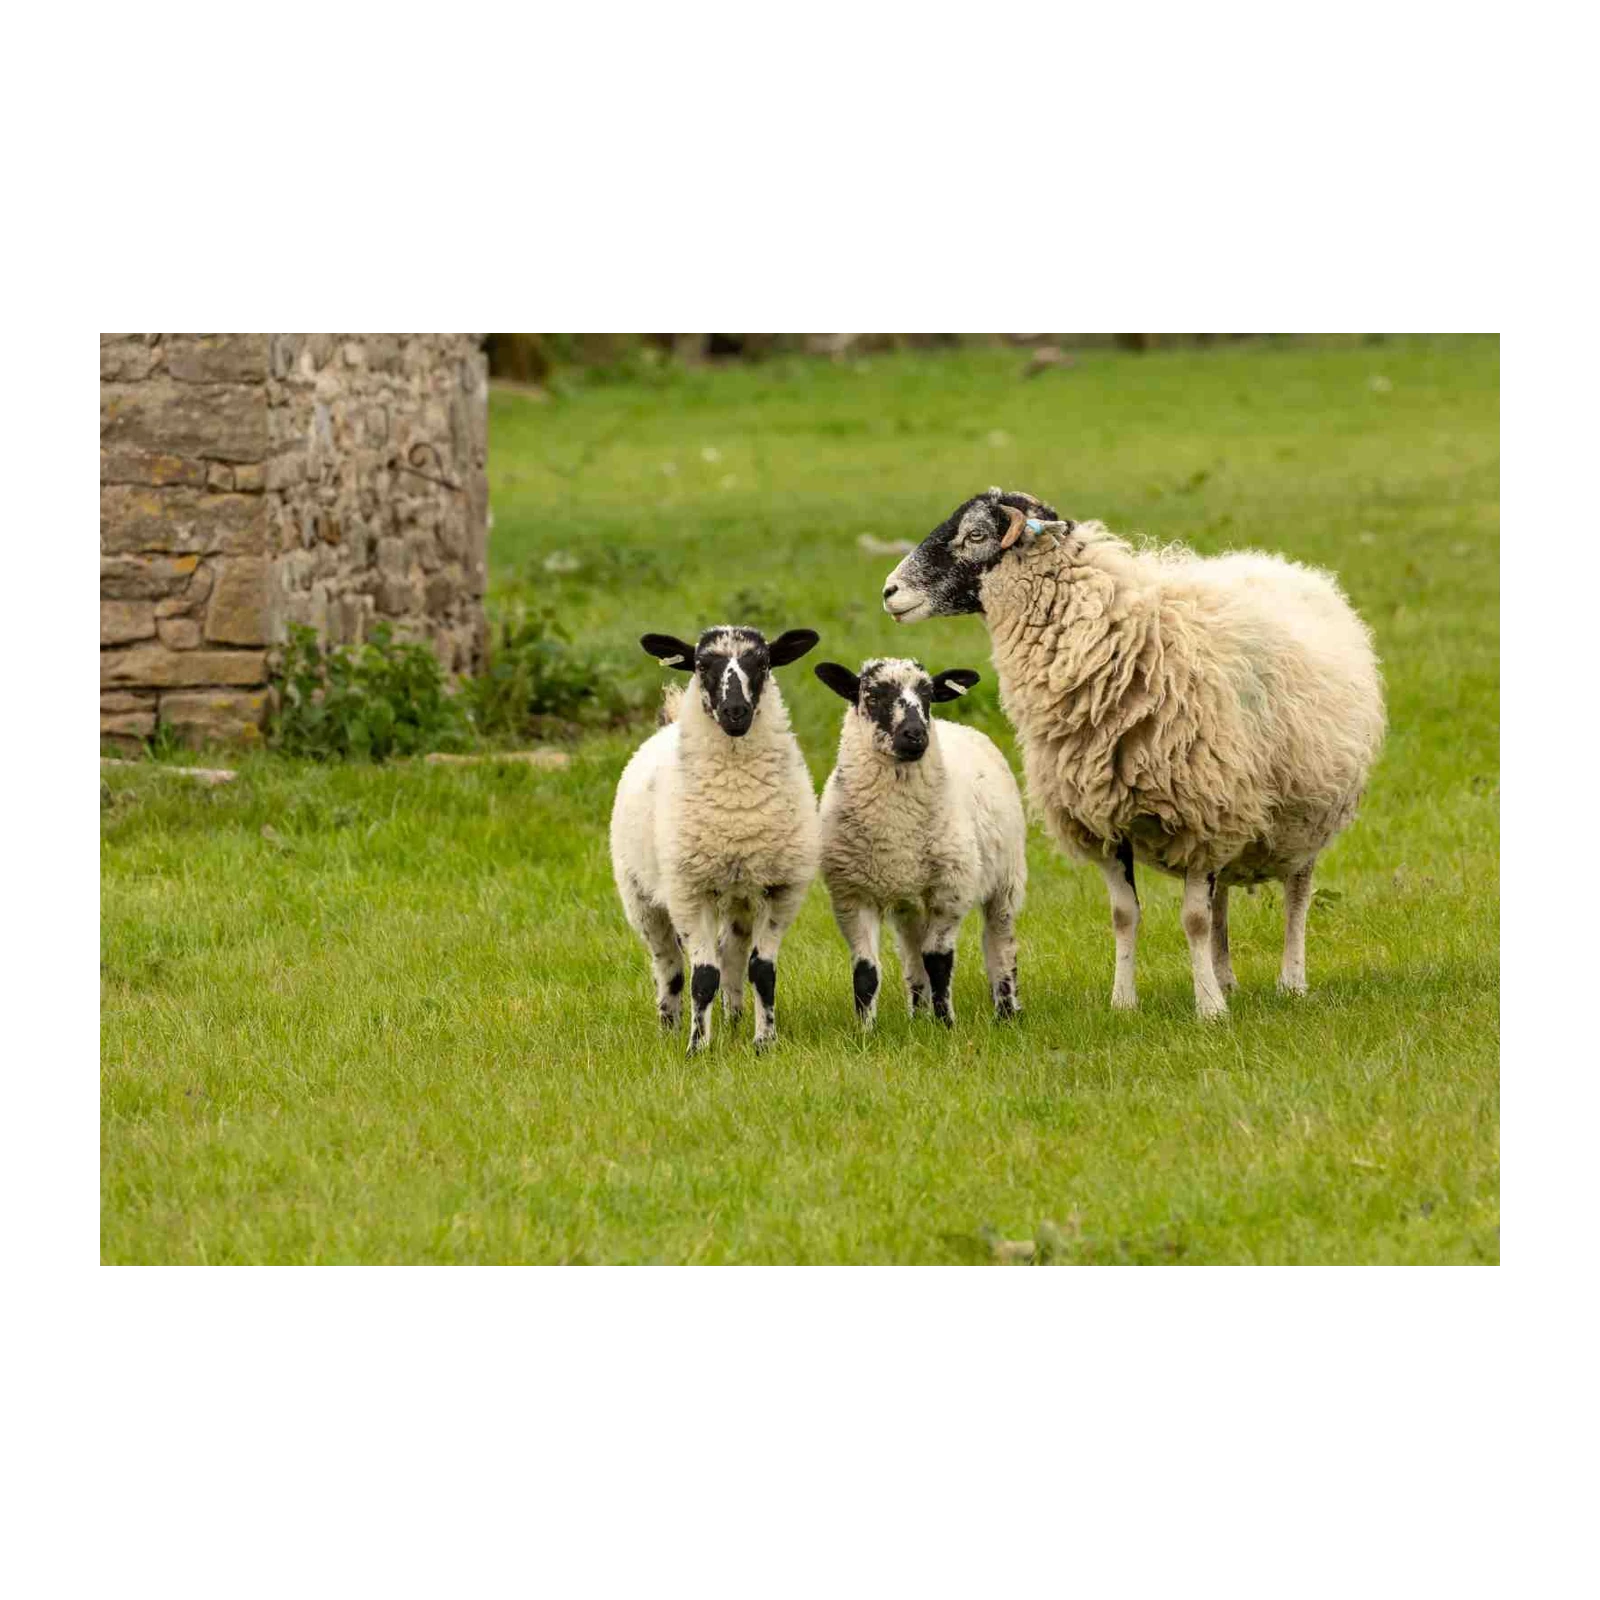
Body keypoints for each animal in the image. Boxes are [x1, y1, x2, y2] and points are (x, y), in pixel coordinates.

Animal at [610, 624, 821, 1053]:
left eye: (763, 663)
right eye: (703, 665)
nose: (735, 712)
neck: (736, 805)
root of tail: (670, 721)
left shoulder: (781, 889)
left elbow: (762, 971)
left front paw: (764, 1043)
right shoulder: (690, 891)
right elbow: (703, 976)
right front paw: (697, 1048)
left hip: (739, 897)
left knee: (732, 955)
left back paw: (734, 1018)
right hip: (642, 897)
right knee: (669, 965)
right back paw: (669, 1026)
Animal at [814, 657, 1027, 1029]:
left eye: (928, 695)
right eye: (872, 695)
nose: (916, 734)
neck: (896, 827)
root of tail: (958, 726)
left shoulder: (950, 890)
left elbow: (938, 960)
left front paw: (945, 1025)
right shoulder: (852, 895)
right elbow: (866, 972)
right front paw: (865, 1031)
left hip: (1006, 878)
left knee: (999, 943)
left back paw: (1004, 1011)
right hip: (908, 900)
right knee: (912, 951)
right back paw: (917, 1014)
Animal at [881, 488, 1386, 1019]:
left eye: (975, 534)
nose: (889, 591)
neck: (1110, 637)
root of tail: (1284, 566)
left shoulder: (1201, 814)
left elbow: (1194, 919)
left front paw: (1208, 1009)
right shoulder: (1106, 821)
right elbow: (1125, 915)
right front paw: (1125, 1001)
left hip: (1307, 817)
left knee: (1297, 896)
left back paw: (1291, 981)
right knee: (1224, 899)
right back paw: (1226, 978)